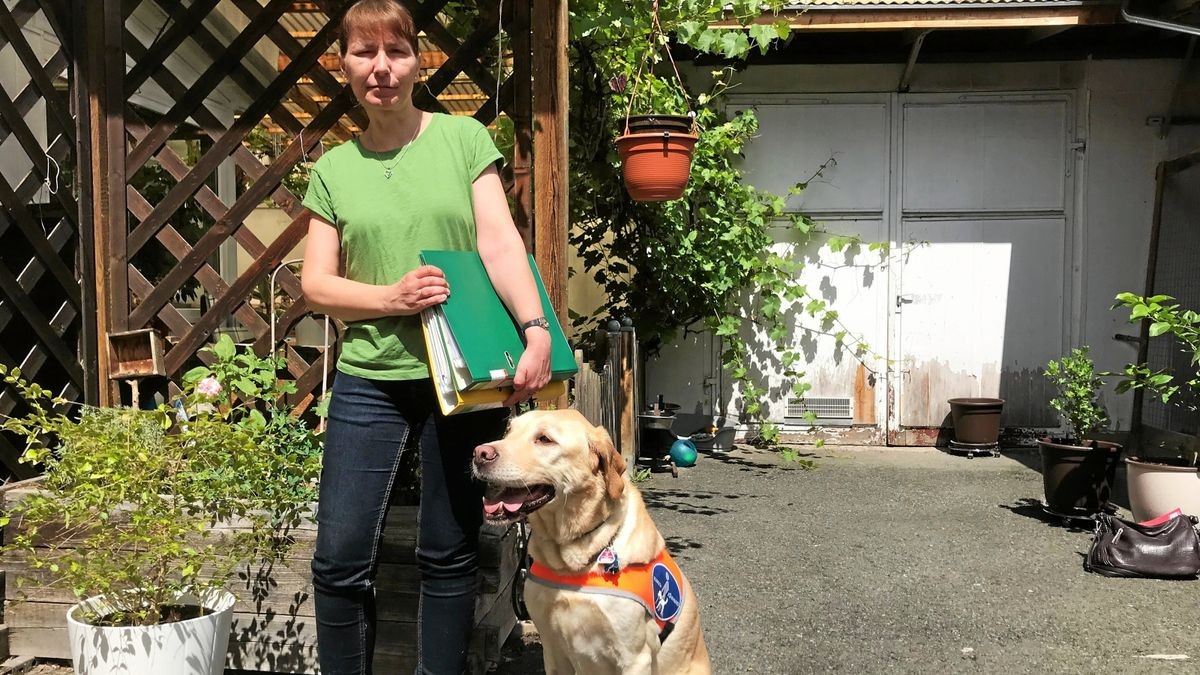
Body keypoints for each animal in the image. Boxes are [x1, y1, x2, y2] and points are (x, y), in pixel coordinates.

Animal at [470, 408, 710, 667]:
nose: (479, 453)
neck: (569, 560)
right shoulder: (552, 649)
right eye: (508, 431)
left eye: (544, 439)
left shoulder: (634, 657)